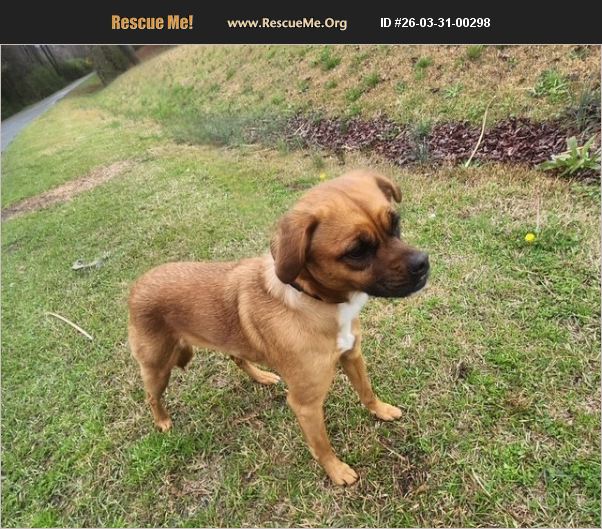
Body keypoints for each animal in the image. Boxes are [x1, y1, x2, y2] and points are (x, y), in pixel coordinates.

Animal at [128, 169, 429, 485]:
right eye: (356, 251)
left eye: (395, 223)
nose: (423, 264)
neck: (314, 299)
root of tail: (136, 286)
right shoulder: (306, 404)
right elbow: (322, 446)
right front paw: (336, 471)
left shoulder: (352, 356)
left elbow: (367, 391)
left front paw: (380, 410)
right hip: (157, 367)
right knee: (151, 396)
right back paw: (162, 421)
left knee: (237, 357)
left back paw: (261, 376)